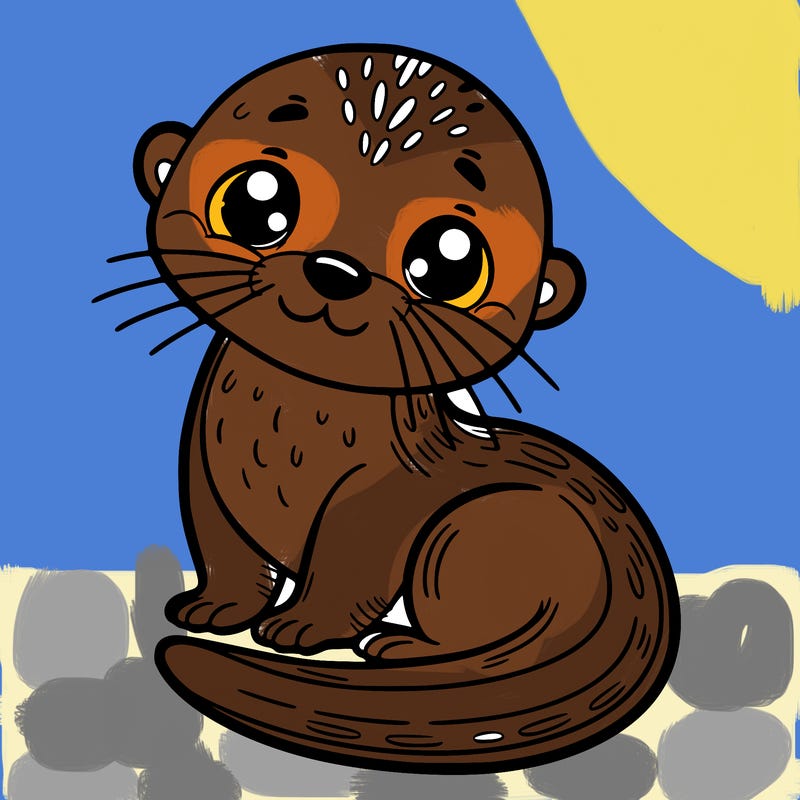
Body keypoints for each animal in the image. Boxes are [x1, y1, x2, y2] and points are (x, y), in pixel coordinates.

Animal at [106, 45, 679, 773]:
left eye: (448, 260)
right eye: (256, 200)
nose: (335, 270)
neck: (284, 433)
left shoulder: (379, 497)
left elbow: (350, 566)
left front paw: (301, 628)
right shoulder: (204, 468)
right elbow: (224, 548)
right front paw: (214, 608)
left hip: (474, 531)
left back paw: (402, 648)